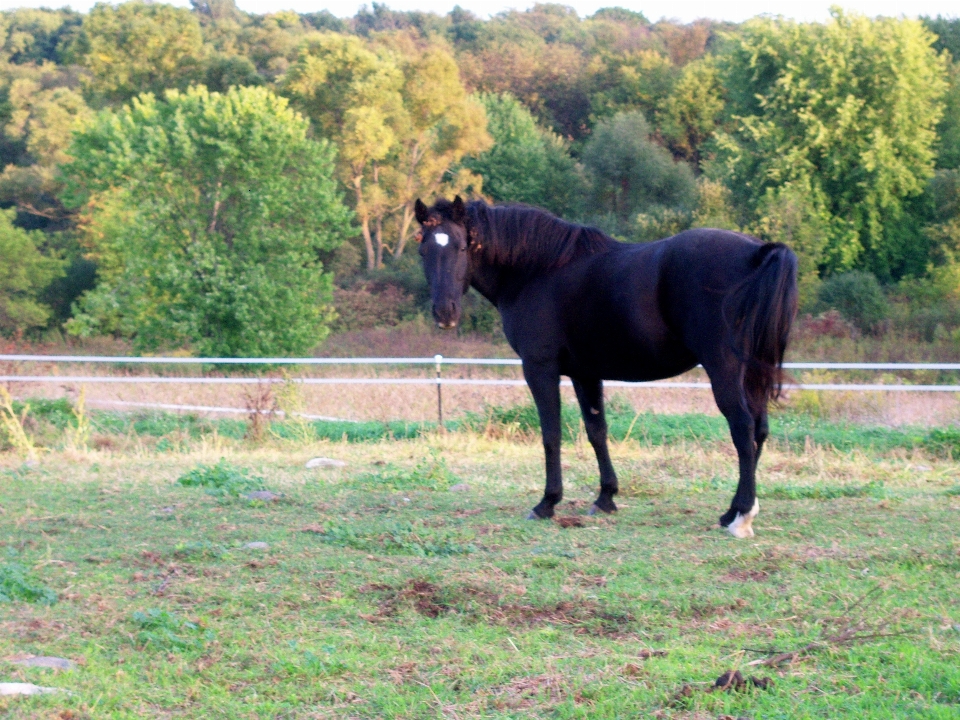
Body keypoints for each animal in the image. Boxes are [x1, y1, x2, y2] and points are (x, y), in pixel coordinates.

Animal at [416, 194, 800, 536]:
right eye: (423, 250)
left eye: (461, 247)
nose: (444, 313)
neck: (536, 270)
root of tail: (758, 252)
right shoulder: (585, 373)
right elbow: (596, 431)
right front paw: (605, 498)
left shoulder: (540, 368)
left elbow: (551, 434)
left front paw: (547, 503)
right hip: (753, 372)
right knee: (759, 430)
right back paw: (731, 511)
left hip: (724, 369)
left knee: (742, 428)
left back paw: (742, 517)